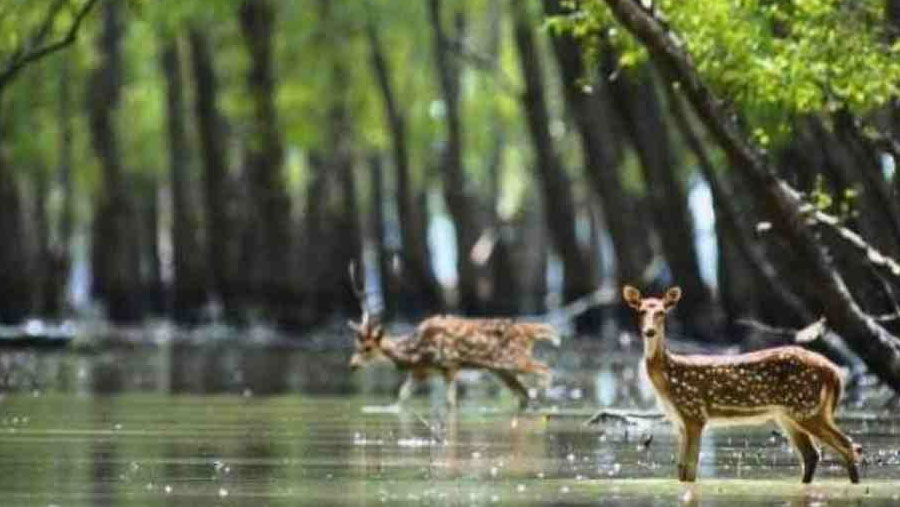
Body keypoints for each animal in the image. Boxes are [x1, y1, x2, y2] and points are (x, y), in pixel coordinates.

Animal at [346, 264, 552, 410]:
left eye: (367, 348)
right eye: (355, 344)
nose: (352, 365)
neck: (415, 351)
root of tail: (530, 330)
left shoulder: (450, 365)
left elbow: (450, 403)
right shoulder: (420, 372)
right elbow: (401, 396)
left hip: (514, 359)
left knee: (544, 368)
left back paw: (542, 396)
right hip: (501, 370)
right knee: (523, 394)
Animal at [624, 286, 860, 484]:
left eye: (662, 312)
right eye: (641, 311)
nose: (649, 332)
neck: (669, 378)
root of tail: (833, 372)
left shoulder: (694, 414)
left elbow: (690, 470)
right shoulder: (679, 422)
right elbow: (681, 470)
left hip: (807, 408)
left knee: (848, 445)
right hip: (789, 415)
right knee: (812, 454)